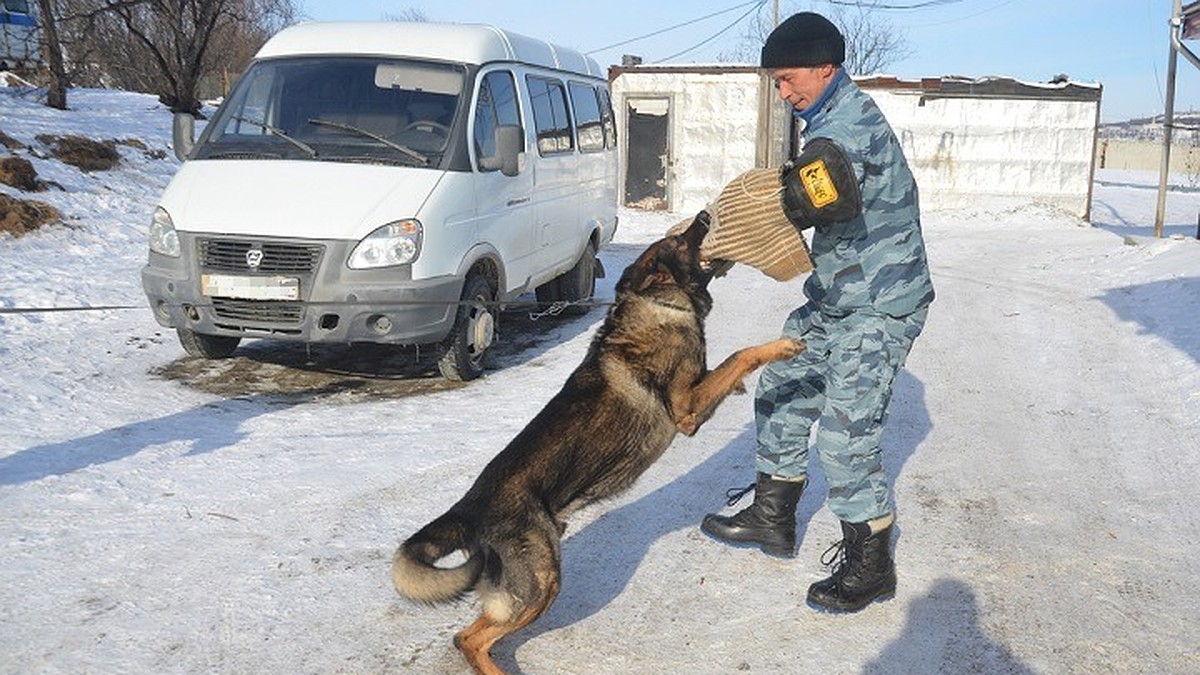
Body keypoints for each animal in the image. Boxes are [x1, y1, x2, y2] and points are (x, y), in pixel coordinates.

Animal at [396, 211, 806, 672]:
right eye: (681, 242)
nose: (704, 215)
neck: (656, 304)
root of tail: (472, 506)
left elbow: (730, 368)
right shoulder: (688, 409)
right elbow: (740, 354)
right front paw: (782, 346)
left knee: (469, 634)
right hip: (541, 583)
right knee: (468, 638)